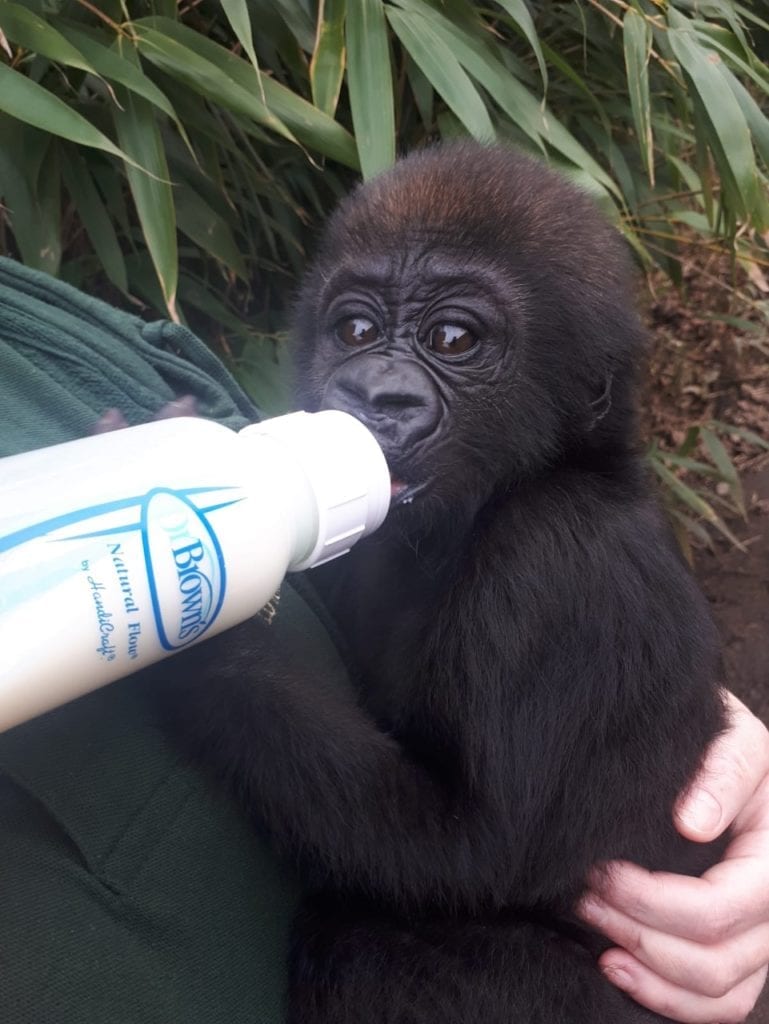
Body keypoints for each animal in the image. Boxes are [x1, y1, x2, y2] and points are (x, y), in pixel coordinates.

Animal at [166, 146, 720, 1024]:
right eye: (356, 331)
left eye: (452, 339)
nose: (373, 397)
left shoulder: (553, 565)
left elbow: (473, 855)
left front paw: (196, 633)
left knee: (358, 947)